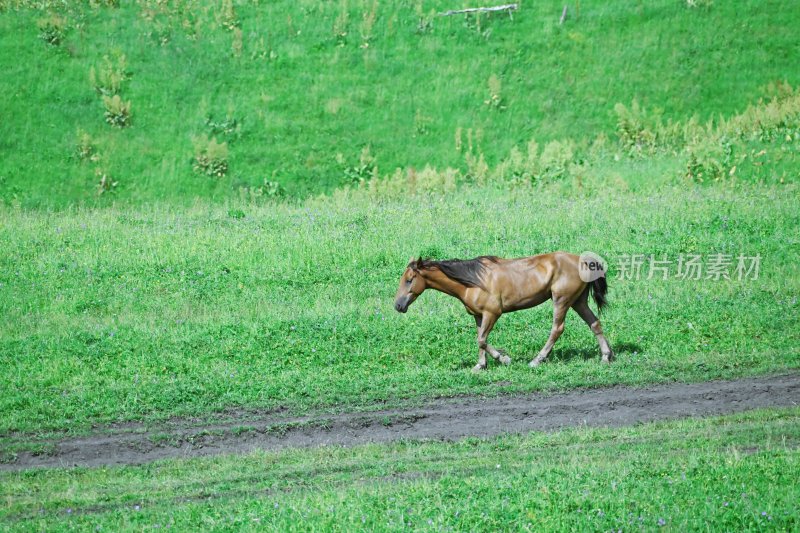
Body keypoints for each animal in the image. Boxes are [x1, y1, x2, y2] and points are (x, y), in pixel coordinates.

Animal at [394, 252, 612, 370]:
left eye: (409, 280)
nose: (398, 306)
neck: (473, 281)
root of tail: (584, 261)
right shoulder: (479, 316)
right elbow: (480, 339)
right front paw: (480, 365)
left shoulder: (493, 313)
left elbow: (482, 340)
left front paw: (504, 359)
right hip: (578, 302)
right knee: (594, 323)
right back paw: (606, 356)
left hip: (562, 301)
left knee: (557, 329)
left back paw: (537, 360)